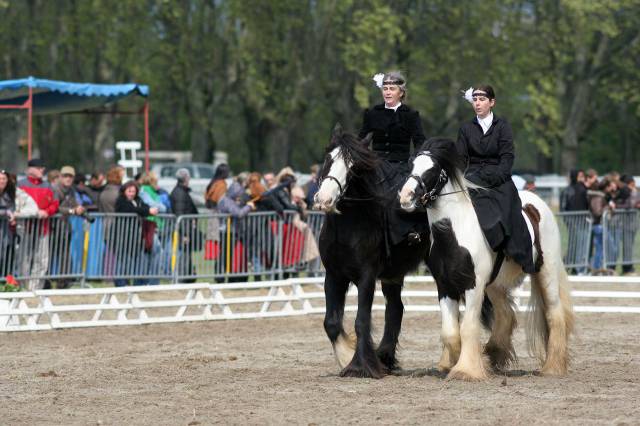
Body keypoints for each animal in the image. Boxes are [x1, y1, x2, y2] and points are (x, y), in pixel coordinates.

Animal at [312, 125, 428, 378]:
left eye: (353, 167)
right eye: (328, 158)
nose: (324, 199)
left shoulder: (366, 277)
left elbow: (361, 320)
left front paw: (360, 365)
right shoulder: (334, 276)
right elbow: (331, 323)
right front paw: (347, 357)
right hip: (393, 275)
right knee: (396, 309)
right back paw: (385, 358)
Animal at [398, 138, 572, 382]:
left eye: (431, 170)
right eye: (411, 166)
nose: (405, 197)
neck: (456, 232)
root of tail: (538, 203)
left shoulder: (474, 284)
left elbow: (467, 327)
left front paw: (465, 371)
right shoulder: (445, 286)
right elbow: (450, 332)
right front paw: (457, 363)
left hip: (545, 273)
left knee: (554, 314)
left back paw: (552, 367)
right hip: (495, 283)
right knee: (505, 314)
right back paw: (494, 354)